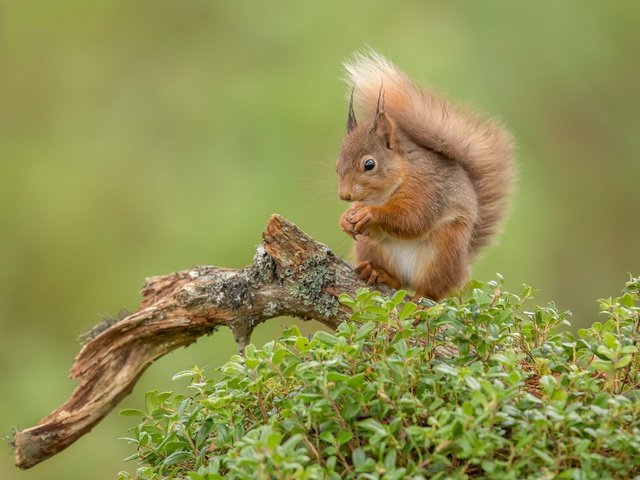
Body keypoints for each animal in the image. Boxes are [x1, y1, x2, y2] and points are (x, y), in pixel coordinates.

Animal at [336, 52, 516, 300]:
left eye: (369, 164)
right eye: (337, 164)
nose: (344, 195)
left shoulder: (426, 188)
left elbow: (412, 218)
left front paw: (370, 214)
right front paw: (346, 218)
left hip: (445, 251)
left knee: (433, 290)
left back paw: (422, 298)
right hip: (369, 247)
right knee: (397, 281)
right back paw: (377, 273)